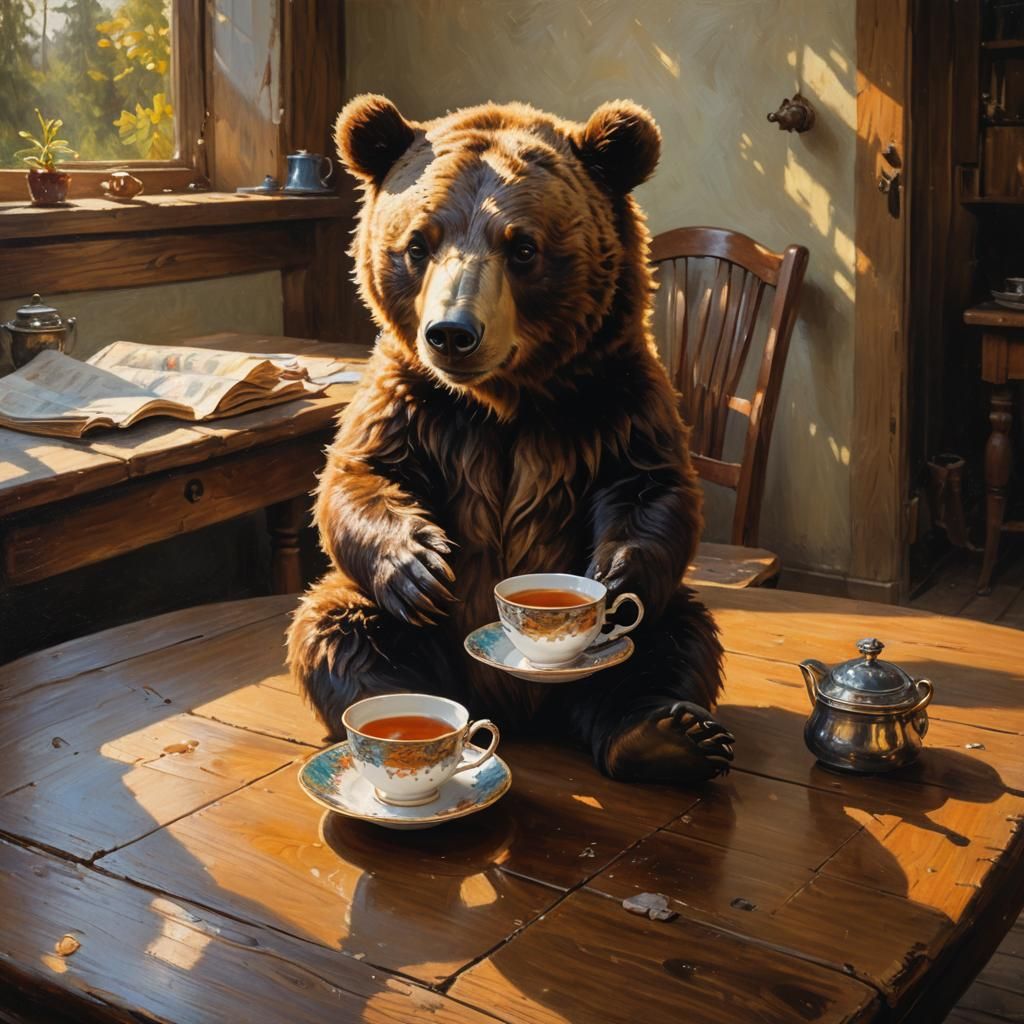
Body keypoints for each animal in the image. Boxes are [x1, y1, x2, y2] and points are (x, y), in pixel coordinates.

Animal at [286, 94, 733, 783]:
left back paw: (666, 735)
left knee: (673, 635)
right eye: (418, 243)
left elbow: (651, 486)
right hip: (405, 632)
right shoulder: (413, 400)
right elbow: (361, 476)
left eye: (522, 247)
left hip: (649, 633)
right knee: (337, 626)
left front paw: (612, 577)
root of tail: (515, 706)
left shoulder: (613, 399)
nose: (451, 333)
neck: (505, 402)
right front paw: (419, 567)